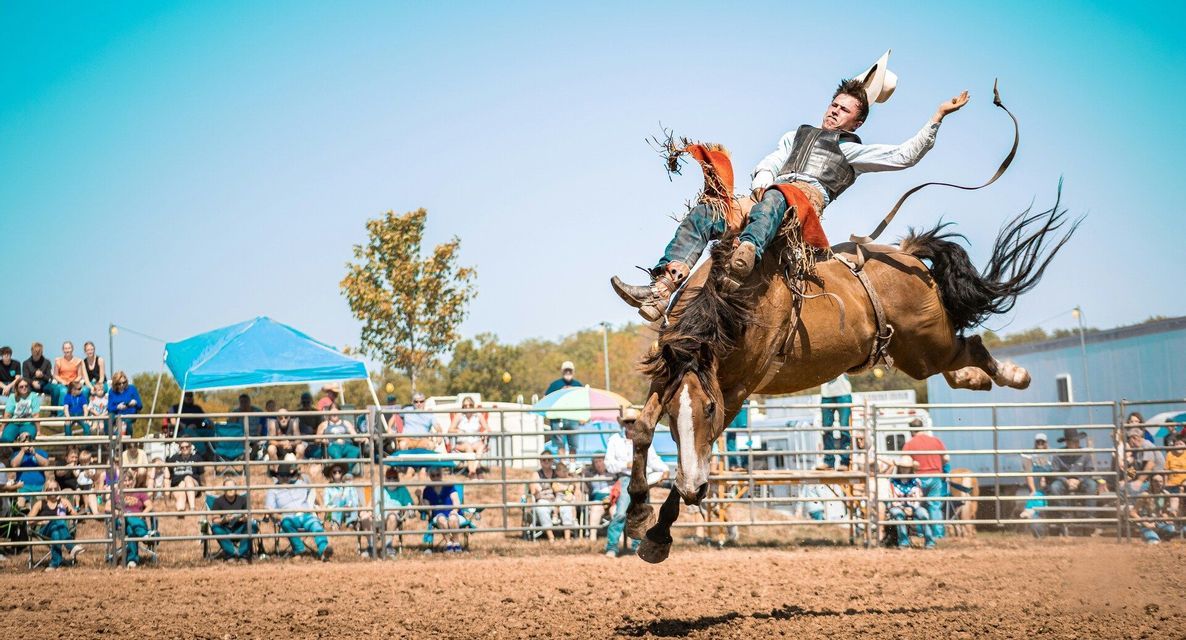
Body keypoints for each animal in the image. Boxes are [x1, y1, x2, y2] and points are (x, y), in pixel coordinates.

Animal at [623, 196, 1077, 563]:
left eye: (710, 408)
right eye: (672, 414)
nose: (694, 490)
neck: (730, 307)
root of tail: (907, 257)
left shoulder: (736, 392)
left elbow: (704, 447)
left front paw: (659, 534)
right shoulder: (668, 375)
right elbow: (642, 428)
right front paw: (637, 512)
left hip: (928, 344)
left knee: (975, 344)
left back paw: (1016, 375)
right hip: (917, 354)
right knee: (959, 357)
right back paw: (980, 380)